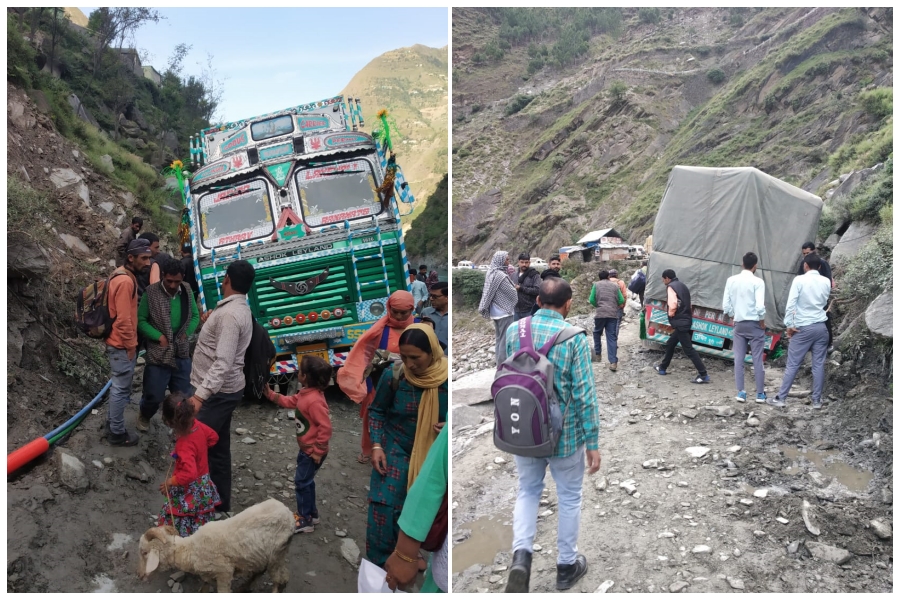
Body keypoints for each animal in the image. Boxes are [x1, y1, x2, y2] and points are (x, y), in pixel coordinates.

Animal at [139, 500, 296, 592]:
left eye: (144, 553)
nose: (139, 575)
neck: (191, 549)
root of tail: (289, 513)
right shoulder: (208, 574)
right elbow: (205, 585)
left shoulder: (224, 573)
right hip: (266, 556)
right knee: (264, 572)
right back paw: (245, 586)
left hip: (277, 554)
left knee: (280, 578)